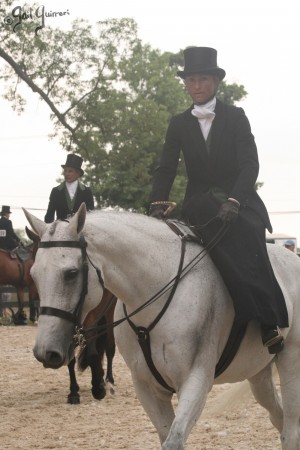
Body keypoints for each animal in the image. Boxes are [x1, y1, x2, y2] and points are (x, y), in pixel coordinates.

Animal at [24, 205, 300, 450]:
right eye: (34, 275)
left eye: (70, 274)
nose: (45, 352)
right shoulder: (148, 388)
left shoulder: (196, 381)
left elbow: (174, 441)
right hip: (259, 372)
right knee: (278, 419)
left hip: (290, 362)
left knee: (290, 431)